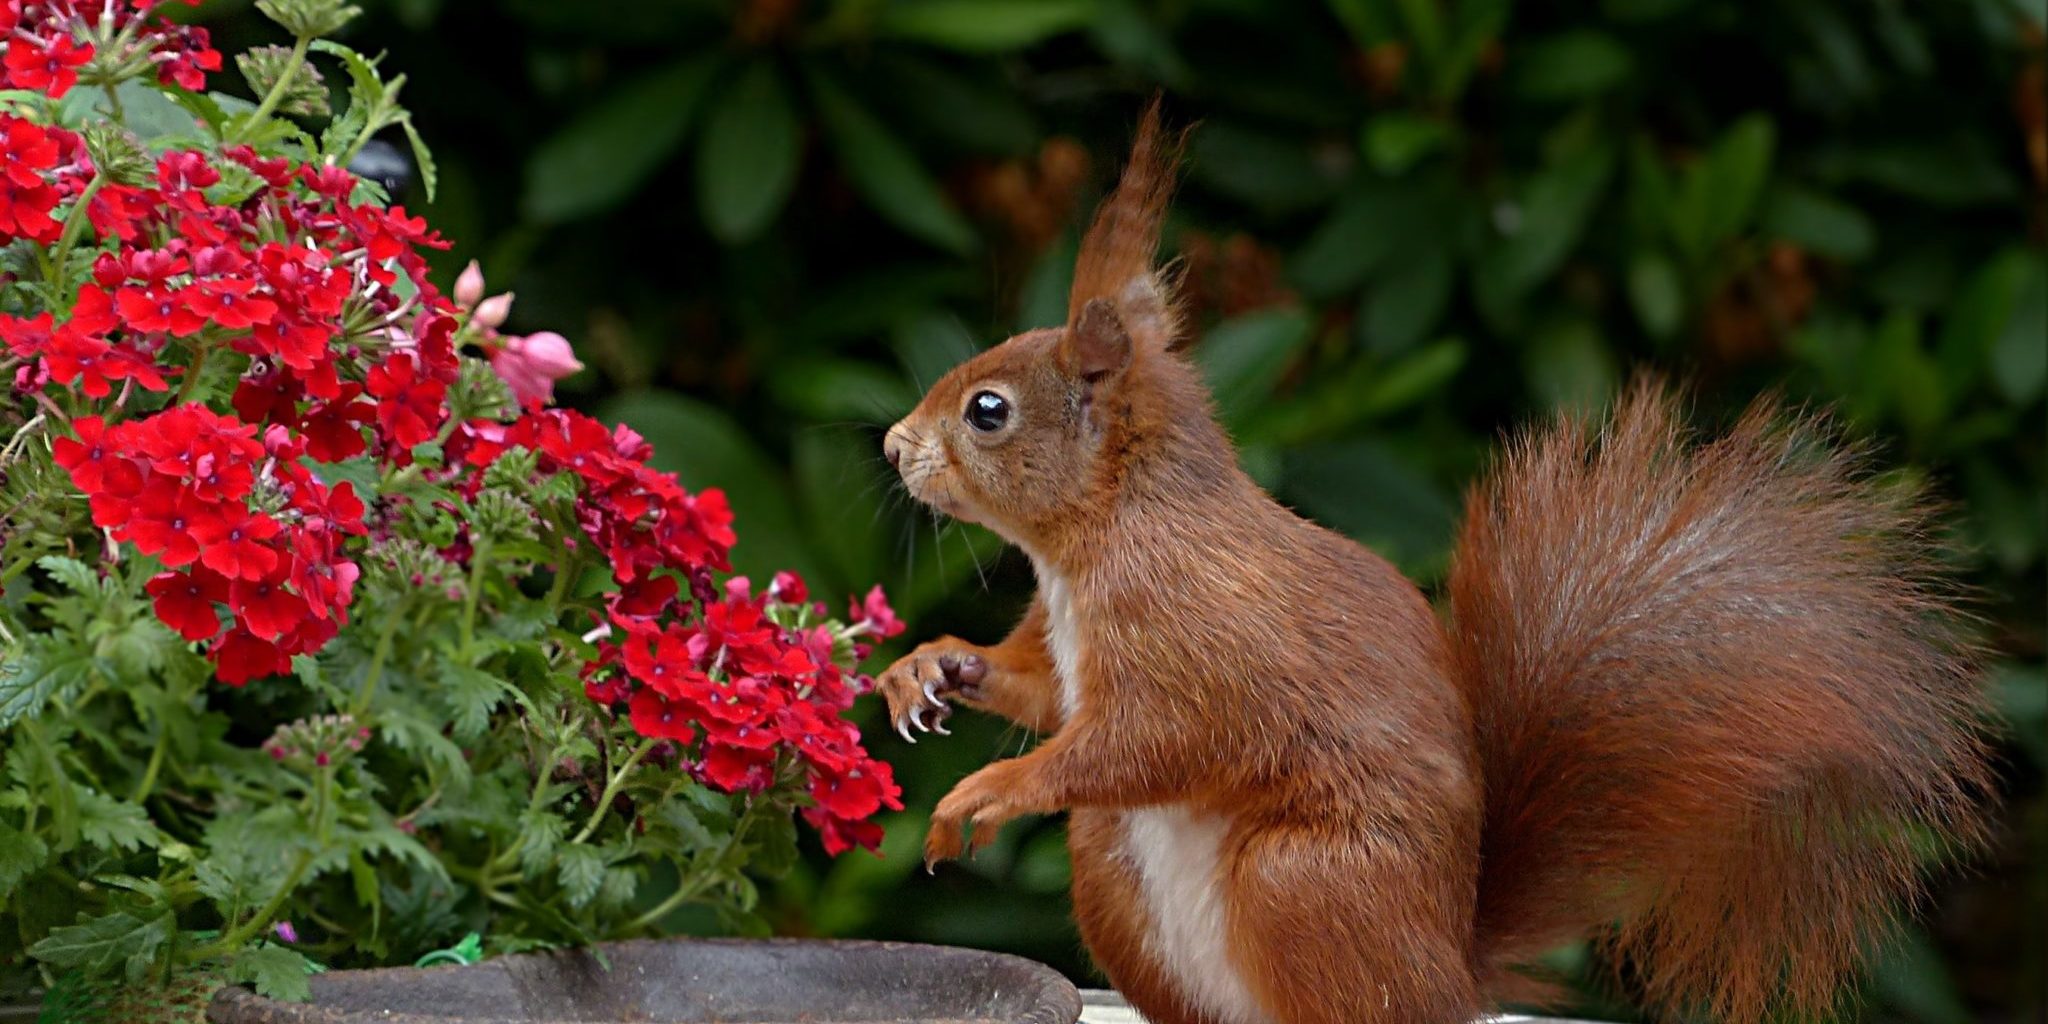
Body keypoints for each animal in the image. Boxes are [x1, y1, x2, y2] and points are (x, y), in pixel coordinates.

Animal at [872, 105, 1990, 1024]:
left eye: (987, 410)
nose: (890, 445)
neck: (1098, 538)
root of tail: (1451, 971)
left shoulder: (1197, 628)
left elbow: (1155, 737)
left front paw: (990, 788)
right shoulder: (1066, 646)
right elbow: (1039, 690)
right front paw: (928, 668)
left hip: (1305, 883)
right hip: (1115, 870)